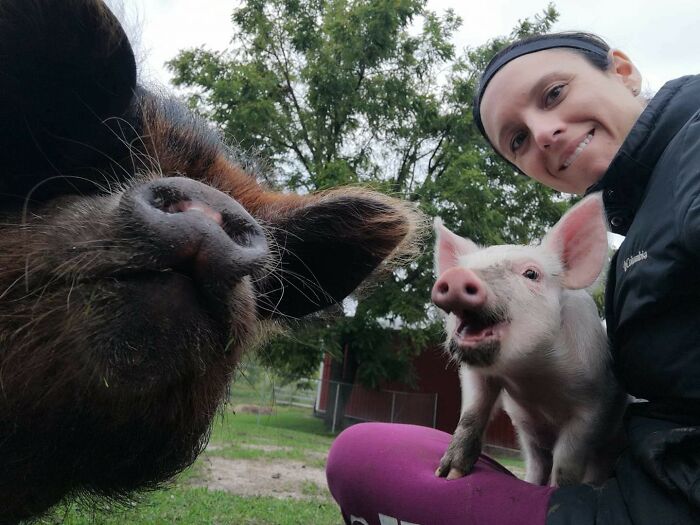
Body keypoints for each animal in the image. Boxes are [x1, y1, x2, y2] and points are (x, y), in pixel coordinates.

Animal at [431, 194, 627, 487]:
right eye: (463, 268)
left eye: (531, 274)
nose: (456, 276)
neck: (531, 378)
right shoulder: (477, 375)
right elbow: (471, 415)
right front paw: (447, 474)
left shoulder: (594, 405)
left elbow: (566, 462)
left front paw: (557, 491)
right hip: (529, 438)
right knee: (537, 463)